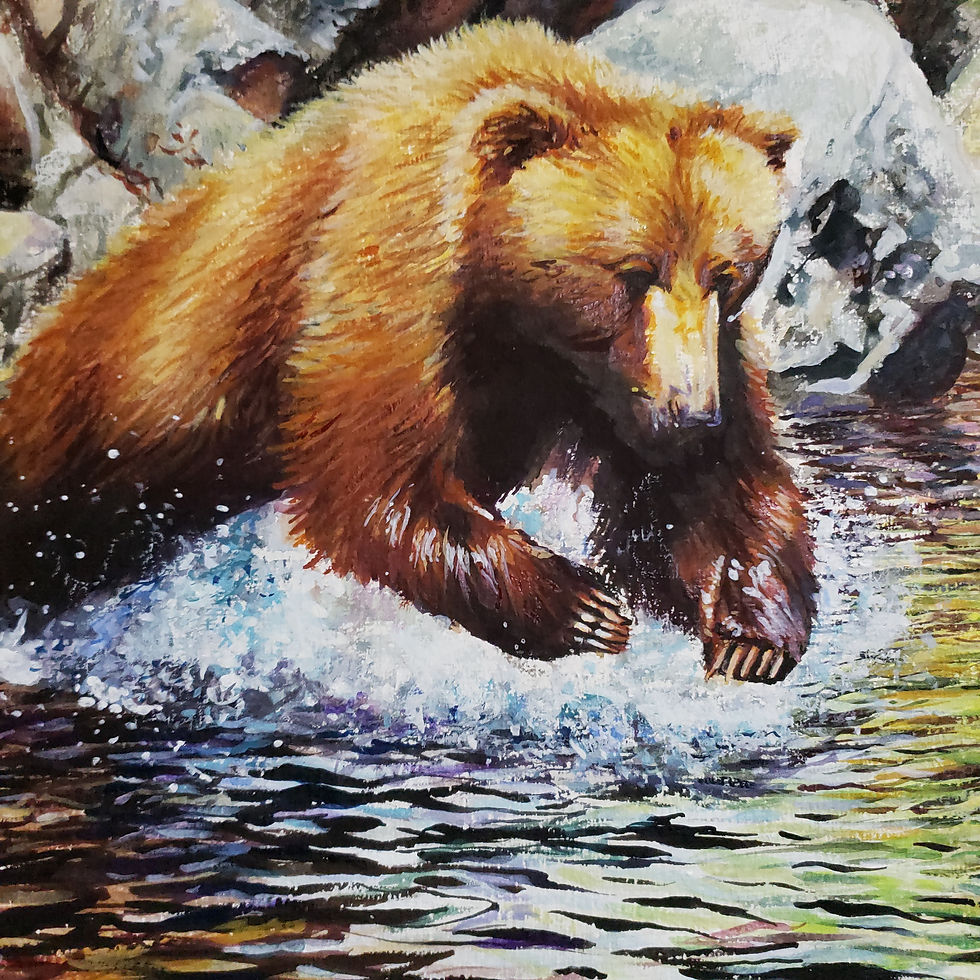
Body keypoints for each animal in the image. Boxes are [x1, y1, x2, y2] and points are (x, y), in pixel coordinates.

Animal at [0, 21, 817, 683]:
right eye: (633, 272)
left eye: (727, 274)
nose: (692, 416)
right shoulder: (386, 272)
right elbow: (374, 482)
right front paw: (585, 608)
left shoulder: (656, 372)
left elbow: (713, 490)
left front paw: (750, 633)